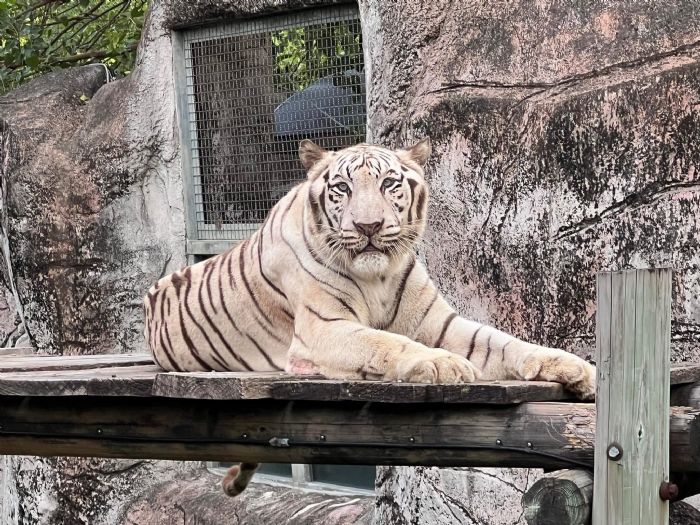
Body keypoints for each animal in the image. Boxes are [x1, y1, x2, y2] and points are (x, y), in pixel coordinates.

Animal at [143, 138, 596, 497]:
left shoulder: (439, 323)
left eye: (388, 184)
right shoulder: (323, 329)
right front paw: (441, 363)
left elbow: (503, 342)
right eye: (342, 188)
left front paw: (579, 368)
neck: (377, 274)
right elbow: (384, 341)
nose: (368, 226)